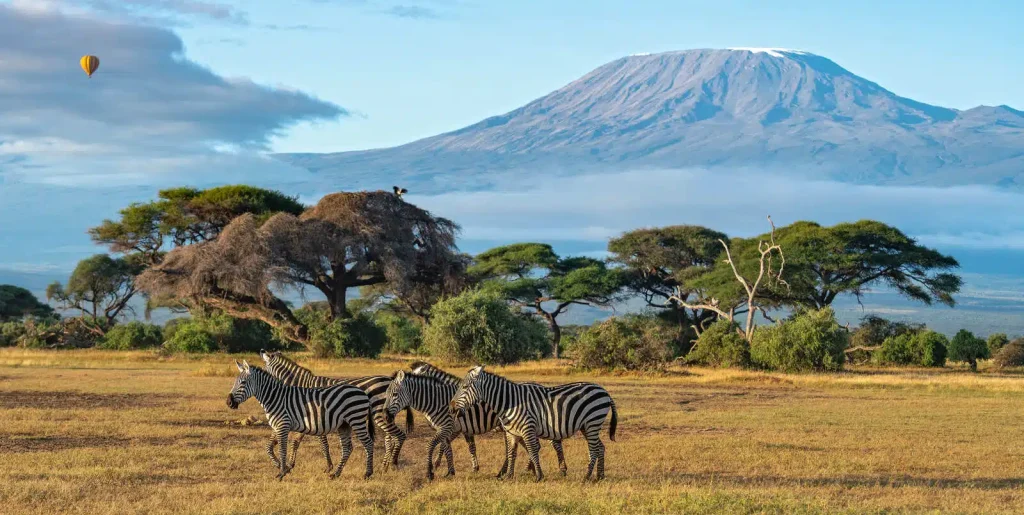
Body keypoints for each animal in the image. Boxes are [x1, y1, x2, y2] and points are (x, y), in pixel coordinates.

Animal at [226, 360, 375, 480]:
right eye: (234, 382)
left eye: (243, 382)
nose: (228, 402)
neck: (275, 398)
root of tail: (362, 392)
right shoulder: (276, 426)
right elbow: (268, 448)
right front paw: (282, 467)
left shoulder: (283, 425)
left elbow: (282, 449)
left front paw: (281, 473)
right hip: (344, 424)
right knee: (347, 448)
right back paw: (335, 474)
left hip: (356, 420)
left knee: (368, 443)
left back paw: (367, 473)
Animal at [259, 350, 413, 472]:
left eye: (265, 370)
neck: (302, 386)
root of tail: (389, 379)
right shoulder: (305, 419)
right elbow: (295, 442)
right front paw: (289, 464)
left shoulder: (315, 418)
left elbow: (322, 444)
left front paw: (328, 467)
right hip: (385, 415)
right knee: (390, 439)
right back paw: (384, 466)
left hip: (380, 414)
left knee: (397, 436)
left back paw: (391, 465)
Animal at [409, 361, 570, 477]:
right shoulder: (463, 429)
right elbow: (469, 447)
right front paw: (473, 467)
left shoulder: (455, 427)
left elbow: (445, 445)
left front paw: (439, 466)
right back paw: (528, 468)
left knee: (553, 443)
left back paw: (560, 469)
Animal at [450, 365, 617, 481]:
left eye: (464, 387)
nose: (451, 408)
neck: (509, 402)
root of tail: (604, 391)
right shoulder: (511, 432)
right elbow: (512, 453)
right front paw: (508, 476)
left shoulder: (528, 428)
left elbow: (532, 450)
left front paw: (539, 476)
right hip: (587, 426)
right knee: (600, 447)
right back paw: (600, 476)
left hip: (592, 422)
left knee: (594, 449)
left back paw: (587, 477)